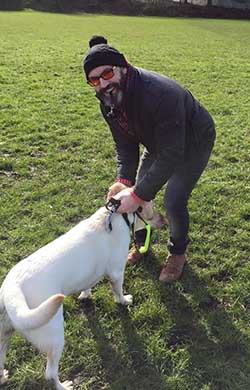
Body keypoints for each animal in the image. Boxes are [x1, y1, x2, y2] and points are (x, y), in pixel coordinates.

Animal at [0, 193, 162, 390]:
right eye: (152, 211)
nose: (164, 220)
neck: (117, 216)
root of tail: (12, 288)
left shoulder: (90, 273)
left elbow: (87, 286)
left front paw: (85, 296)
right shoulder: (116, 273)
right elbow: (118, 292)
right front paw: (124, 300)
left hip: (3, 337)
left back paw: (3, 377)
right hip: (54, 336)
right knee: (50, 373)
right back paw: (64, 386)